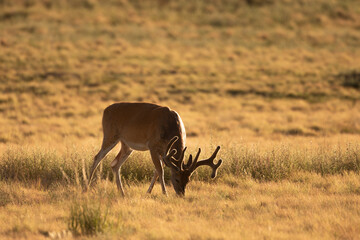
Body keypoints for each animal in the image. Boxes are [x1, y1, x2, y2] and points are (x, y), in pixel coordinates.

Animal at [88, 102, 222, 196]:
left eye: (188, 180)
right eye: (177, 179)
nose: (181, 194)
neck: (170, 127)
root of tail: (105, 110)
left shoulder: (165, 152)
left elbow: (157, 171)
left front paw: (148, 192)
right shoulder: (152, 146)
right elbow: (160, 170)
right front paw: (165, 193)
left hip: (126, 145)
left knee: (115, 164)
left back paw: (122, 192)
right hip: (110, 135)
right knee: (97, 157)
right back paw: (87, 187)